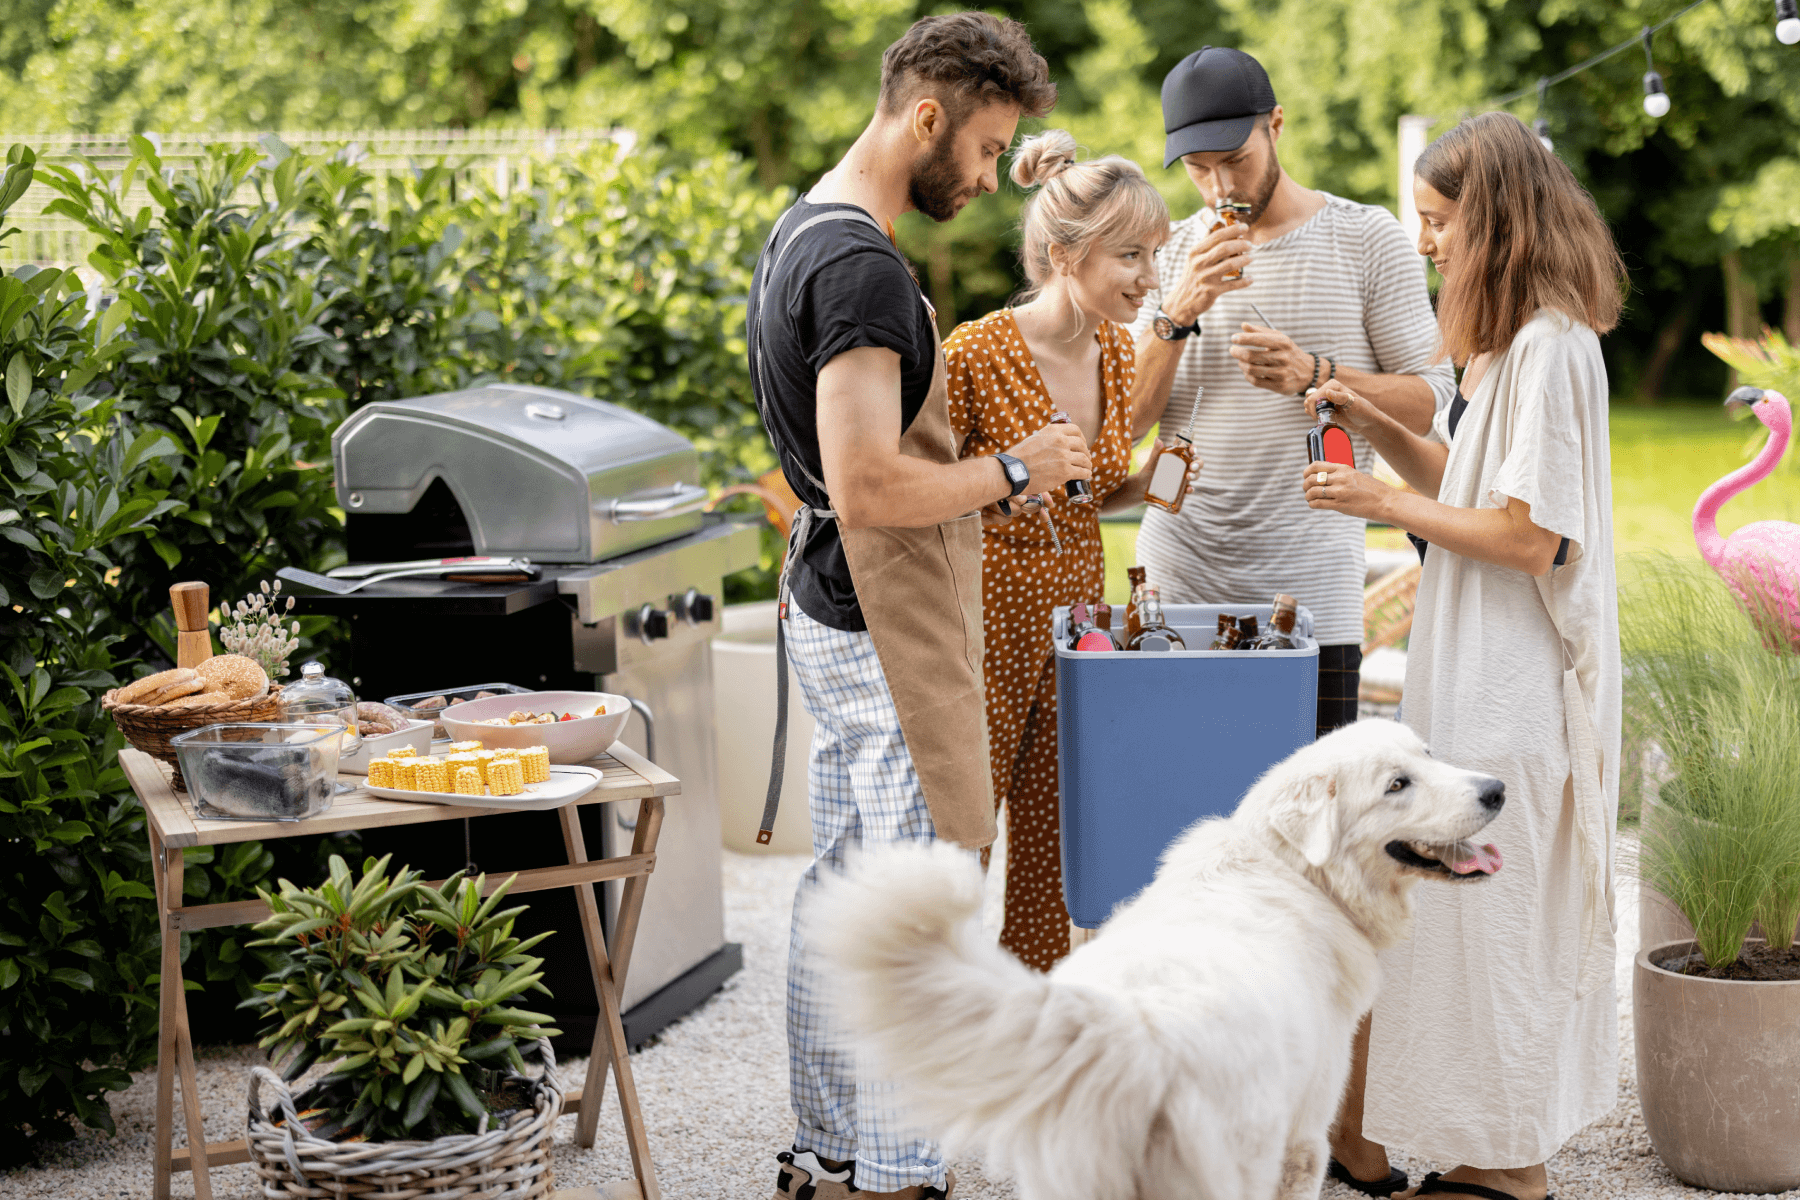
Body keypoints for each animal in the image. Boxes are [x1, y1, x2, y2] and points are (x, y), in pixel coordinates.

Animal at [806, 719, 1504, 1200]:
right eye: (1397, 785)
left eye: (1427, 756)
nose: (1496, 789)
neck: (1294, 873)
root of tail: (1126, 1030)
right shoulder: (1303, 1140)